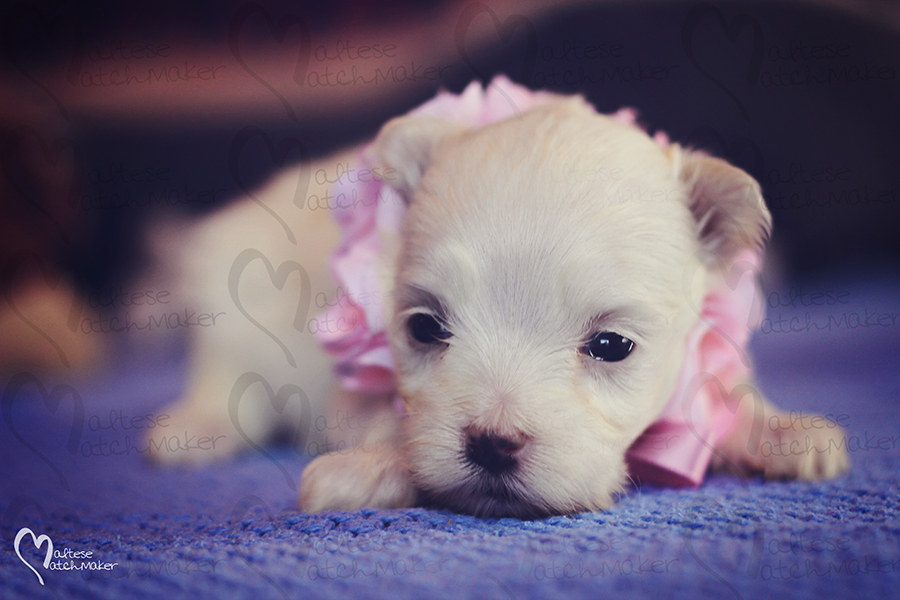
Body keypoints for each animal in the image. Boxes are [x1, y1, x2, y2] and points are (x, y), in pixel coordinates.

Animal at [144, 77, 848, 516]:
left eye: (611, 346)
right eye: (424, 328)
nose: (490, 443)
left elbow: (721, 398)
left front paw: (782, 432)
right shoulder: (350, 389)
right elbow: (388, 423)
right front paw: (367, 468)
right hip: (231, 297)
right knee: (227, 377)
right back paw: (193, 428)